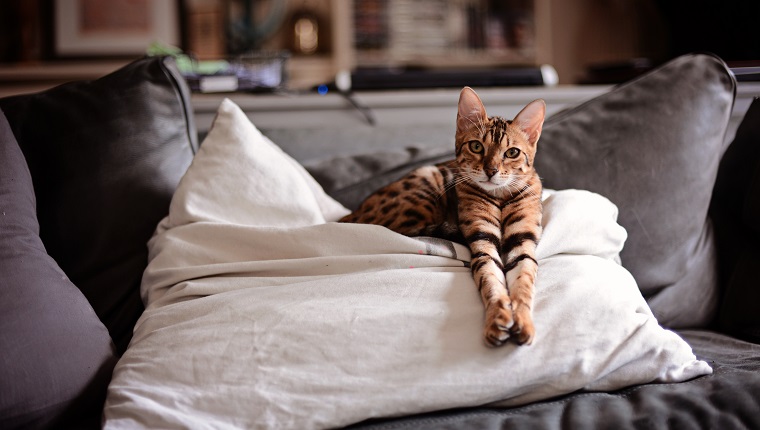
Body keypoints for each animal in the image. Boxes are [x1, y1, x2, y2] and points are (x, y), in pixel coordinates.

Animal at [340, 87, 548, 346]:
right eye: (476, 147)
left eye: (512, 152)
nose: (491, 171)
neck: (499, 197)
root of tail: (350, 215)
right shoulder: (482, 239)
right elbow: (490, 280)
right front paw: (497, 318)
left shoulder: (522, 241)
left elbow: (523, 284)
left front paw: (523, 321)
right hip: (426, 183)